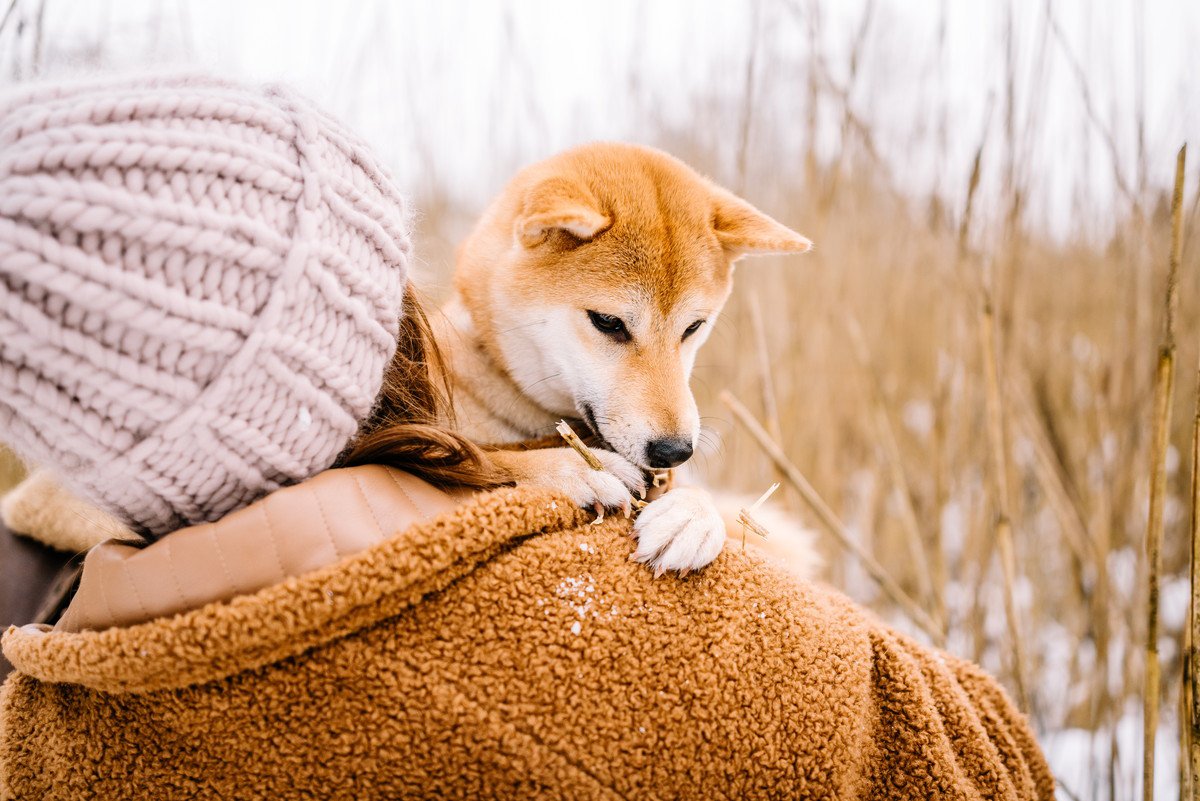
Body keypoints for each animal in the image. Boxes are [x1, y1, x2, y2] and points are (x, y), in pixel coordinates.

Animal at [436, 142, 820, 575]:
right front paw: (577, 469)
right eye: (607, 321)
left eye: (694, 326)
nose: (674, 452)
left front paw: (692, 515)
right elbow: (483, 457)